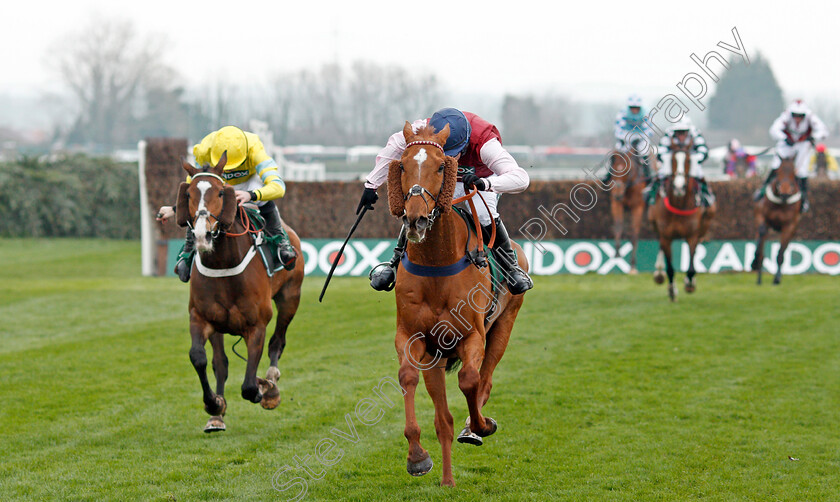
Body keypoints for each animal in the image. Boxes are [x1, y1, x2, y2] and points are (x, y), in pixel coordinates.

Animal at [172, 153, 304, 432]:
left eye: (221, 192)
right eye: (188, 193)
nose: (202, 235)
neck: (223, 264)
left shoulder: (256, 325)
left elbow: (249, 386)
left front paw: (265, 389)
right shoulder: (202, 318)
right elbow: (202, 359)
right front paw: (214, 405)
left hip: (290, 298)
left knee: (278, 342)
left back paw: (271, 380)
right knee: (221, 362)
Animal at [386, 121, 524, 486]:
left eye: (440, 166)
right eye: (402, 166)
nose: (416, 219)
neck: (437, 263)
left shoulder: (472, 335)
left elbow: (470, 381)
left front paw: (479, 427)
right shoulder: (413, 337)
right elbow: (407, 376)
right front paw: (417, 457)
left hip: (504, 324)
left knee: (485, 379)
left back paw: (471, 430)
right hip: (435, 356)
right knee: (443, 419)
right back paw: (447, 480)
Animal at [648, 139, 716, 300]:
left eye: (689, 160)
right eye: (672, 159)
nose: (679, 186)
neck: (679, 203)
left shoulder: (692, 235)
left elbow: (691, 264)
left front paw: (690, 283)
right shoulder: (666, 236)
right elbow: (670, 268)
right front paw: (672, 290)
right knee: (660, 246)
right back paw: (659, 273)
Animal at [752, 155, 804, 284]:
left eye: (793, 172)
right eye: (777, 171)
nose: (785, 191)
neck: (781, 202)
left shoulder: (789, 226)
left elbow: (780, 253)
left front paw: (777, 279)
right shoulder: (761, 217)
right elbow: (761, 238)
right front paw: (755, 263)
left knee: (783, 250)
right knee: (760, 242)